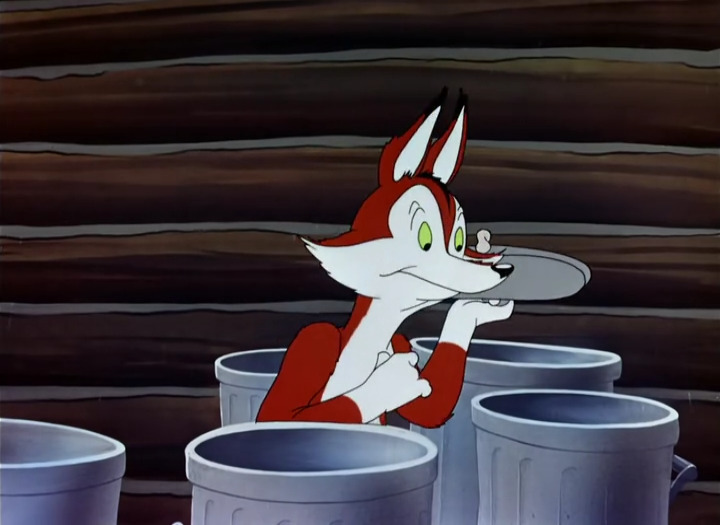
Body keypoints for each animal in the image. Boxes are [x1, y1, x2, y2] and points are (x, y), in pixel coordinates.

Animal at [256, 87, 515, 428]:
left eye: (459, 241)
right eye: (424, 238)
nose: (501, 272)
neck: (374, 335)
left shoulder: (401, 340)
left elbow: (432, 407)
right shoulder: (313, 341)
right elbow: (277, 417)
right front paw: (387, 383)